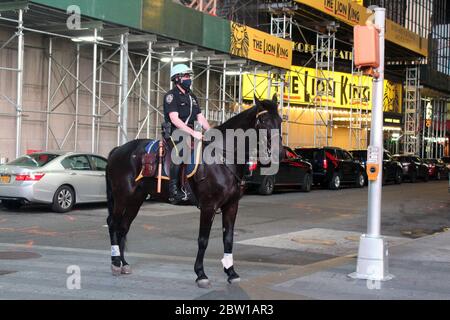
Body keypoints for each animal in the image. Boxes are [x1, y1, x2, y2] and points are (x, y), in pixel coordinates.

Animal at [105, 96, 282, 288]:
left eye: (280, 120)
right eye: (264, 120)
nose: (279, 152)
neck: (223, 158)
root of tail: (118, 150)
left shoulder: (231, 206)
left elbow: (228, 239)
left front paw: (231, 272)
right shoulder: (208, 206)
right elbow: (203, 240)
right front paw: (201, 274)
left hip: (136, 199)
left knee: (123, 227)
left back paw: (123, 263)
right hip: (122, 196)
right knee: (113, 223)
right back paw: (115, 262)